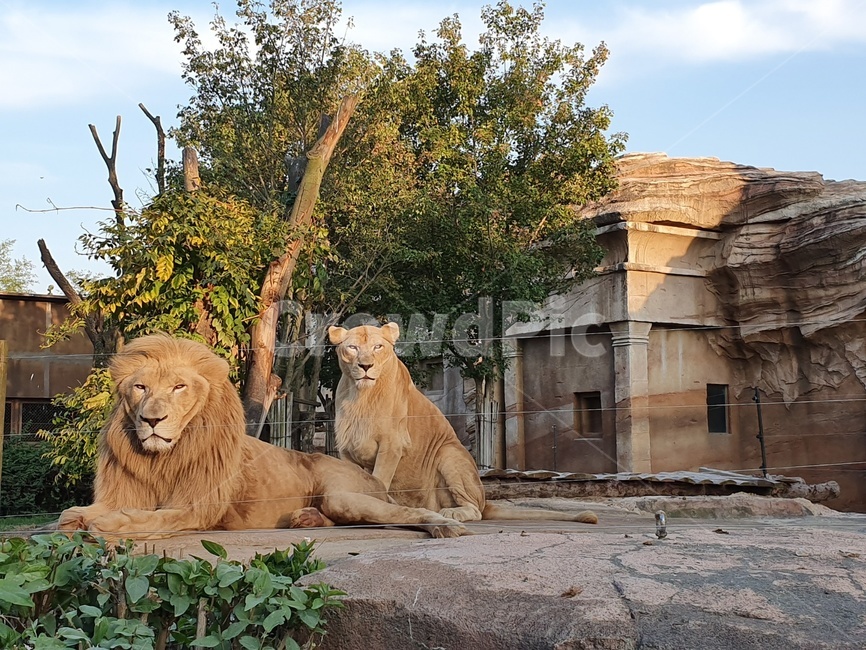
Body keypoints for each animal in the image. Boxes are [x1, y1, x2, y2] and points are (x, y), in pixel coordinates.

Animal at [57, 334, 466, 539]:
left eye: (178, 387)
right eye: (140, 387)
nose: (152, 420)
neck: (163, 458)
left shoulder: (197, 508)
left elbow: (153, 519)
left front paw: (111, 525)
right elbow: (66, 514)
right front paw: (79, 520)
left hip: (343, 494)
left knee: (405, 510)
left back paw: (446, 524)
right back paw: (305, 519)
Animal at [328, 323, 598, 525]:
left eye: (378, 347)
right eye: (352, 347)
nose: (365, 366)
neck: (361, 395)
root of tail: (485, 500)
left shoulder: (392, 445)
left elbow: (380, 480)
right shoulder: (346, 451)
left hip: (448, 453)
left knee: (475, 511)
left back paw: (451, 512)